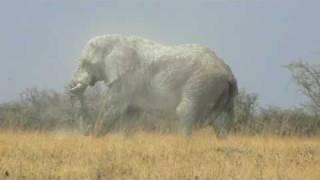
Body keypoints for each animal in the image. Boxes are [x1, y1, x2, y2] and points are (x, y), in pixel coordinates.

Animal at [69, 34, 239, 136]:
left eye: (85, 63)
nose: (87, 130)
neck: (115, 40)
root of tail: (228, 72)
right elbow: (130, 114)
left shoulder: (127, 78)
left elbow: (113, 109)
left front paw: (95, 138)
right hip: (221, 90)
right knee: (223, 120)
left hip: (201, 83)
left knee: (184, 111)